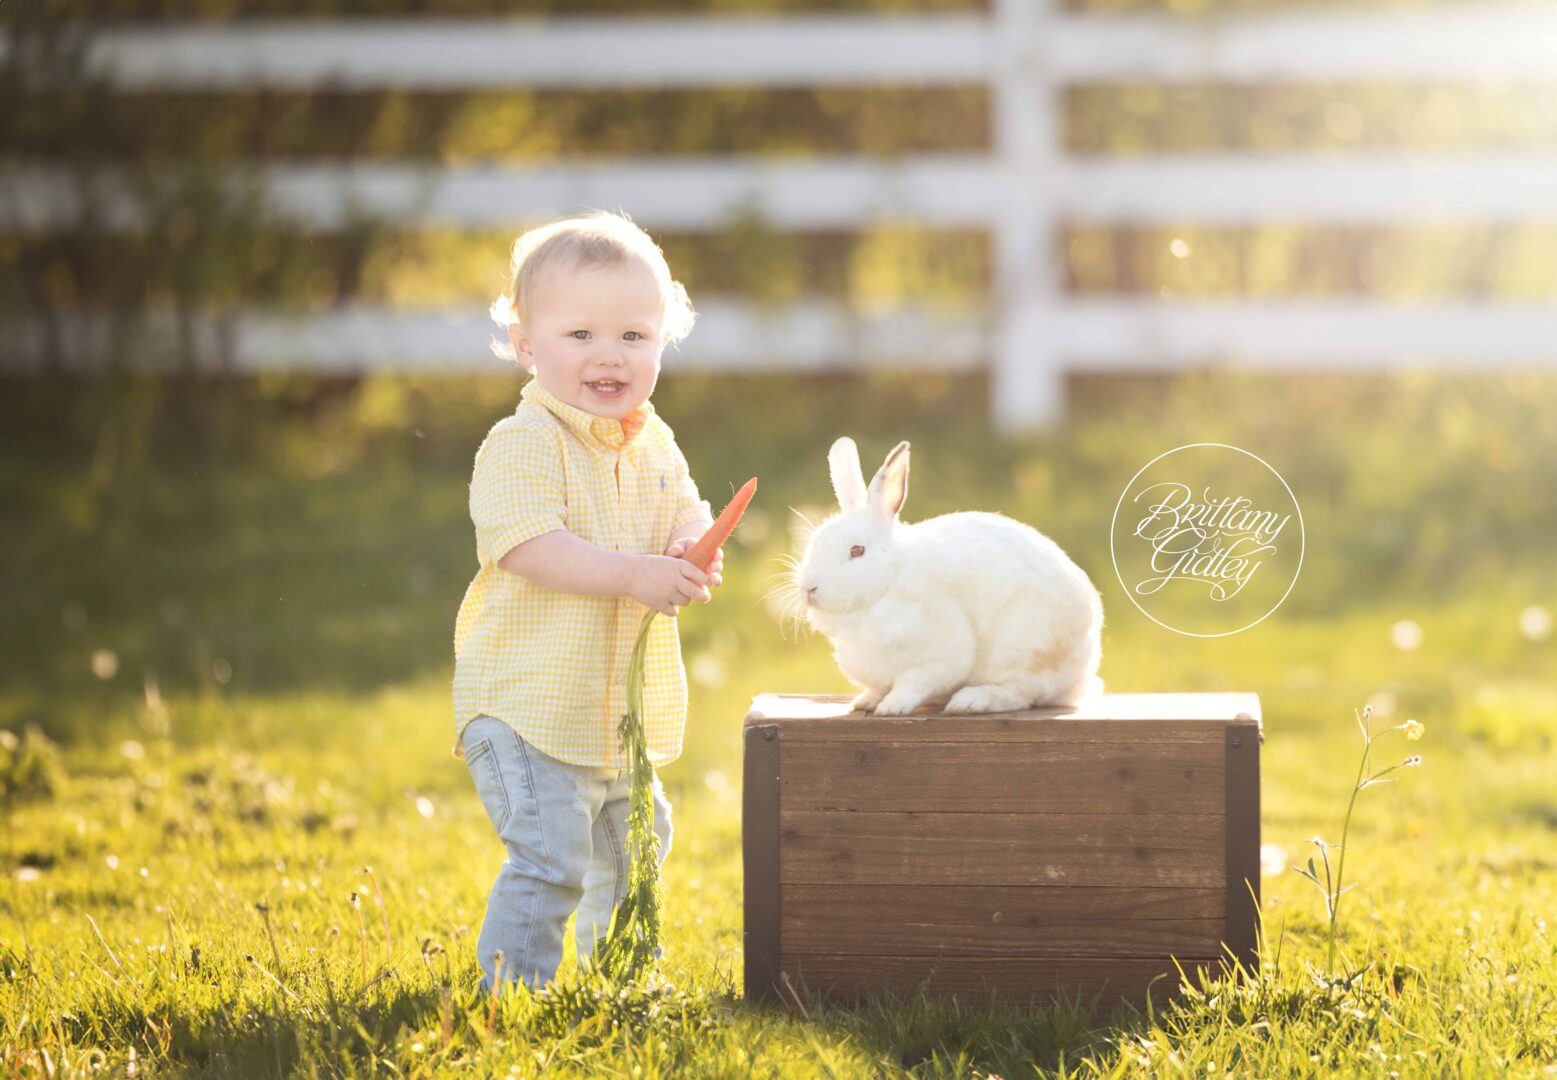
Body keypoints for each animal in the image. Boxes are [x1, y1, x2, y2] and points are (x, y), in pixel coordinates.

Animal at [795, 436, 1105, 716]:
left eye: (857, 550)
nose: (809, 588)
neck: (887, 584)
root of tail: (1081, 674)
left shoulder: (937, 655)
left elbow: (913, 683)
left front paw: (892, 707)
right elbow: (879, 688)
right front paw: (867, 701)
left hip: (1019, 650)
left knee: (1021, 693)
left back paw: (971, 701)